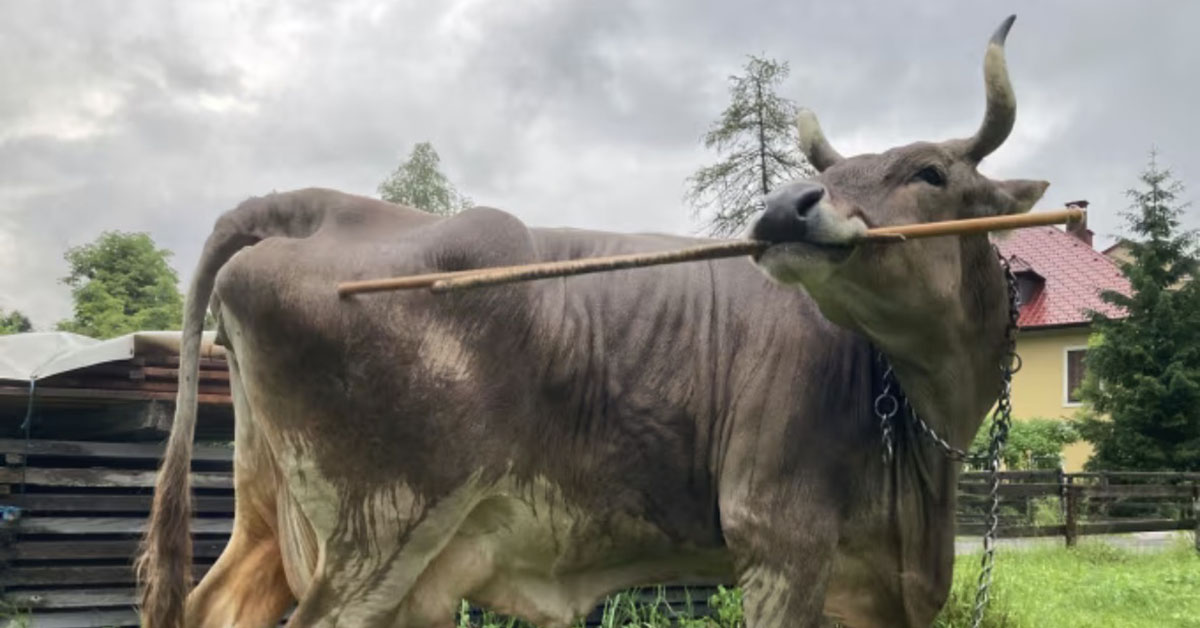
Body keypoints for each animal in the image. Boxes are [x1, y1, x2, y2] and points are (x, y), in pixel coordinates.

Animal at [138, 15, 1047, 628]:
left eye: (929, 172)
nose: (784, 206)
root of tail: (312, 204)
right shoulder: (778, 543)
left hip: (276, 515)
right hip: (380, 533)